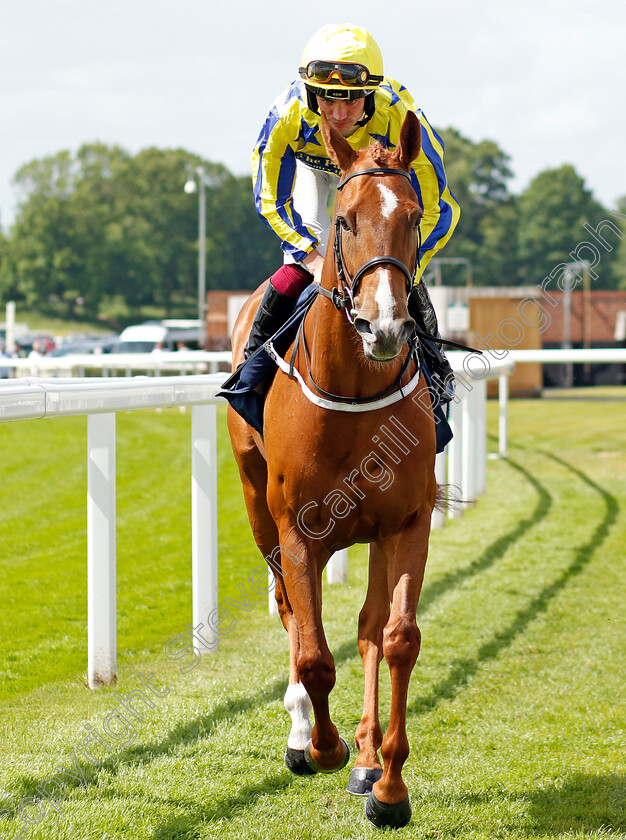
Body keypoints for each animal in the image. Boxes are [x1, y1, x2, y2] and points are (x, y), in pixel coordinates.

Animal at [227, 110, 436, 828]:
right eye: (343, 219)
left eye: (414, 216)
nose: (385, 326)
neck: (352, 394)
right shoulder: (297, 528)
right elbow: (315, 654)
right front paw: (322, 745)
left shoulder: (407, 519)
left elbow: (395, 637)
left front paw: (388, 784)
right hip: (256, 504)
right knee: (291, 610)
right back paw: (301, 733)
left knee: (370, 627)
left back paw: (369, 759)